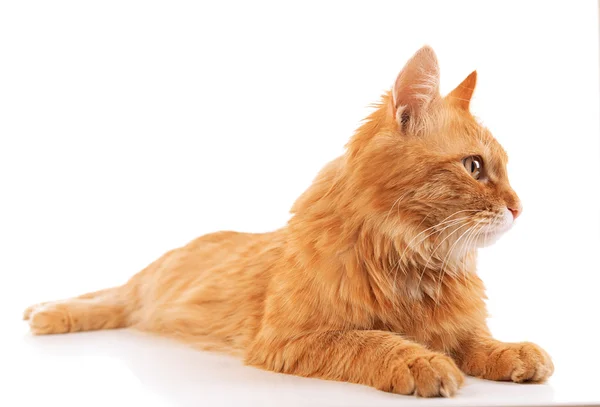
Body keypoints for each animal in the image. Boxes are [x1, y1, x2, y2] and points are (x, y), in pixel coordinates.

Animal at [25, 45, 556, 398]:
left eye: (505, 169)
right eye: (474, 167)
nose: (518, 207)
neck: (411, 257)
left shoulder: (457, 326)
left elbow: (478, 341)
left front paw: (513, 353)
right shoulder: (292, 338)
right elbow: (373, 341)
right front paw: (422, 360)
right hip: (143, 292)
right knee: (106, 299)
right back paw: (44, 314)